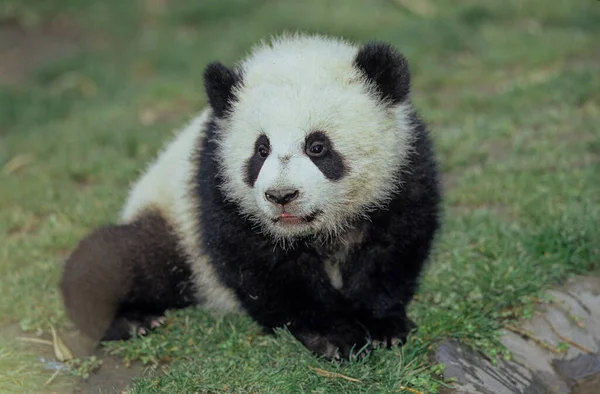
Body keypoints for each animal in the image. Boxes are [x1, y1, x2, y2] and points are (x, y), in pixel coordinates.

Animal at [59, 33, 440, 360]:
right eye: (261, 150)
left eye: (317, 146)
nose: (281, 195)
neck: (310, 232)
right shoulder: (219, 186)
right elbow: (268, 271)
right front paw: (337, 335)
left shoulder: (403, 170)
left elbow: (390, 248)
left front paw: (382, 326)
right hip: (176, 230)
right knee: (117, 260)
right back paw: (129, 319)